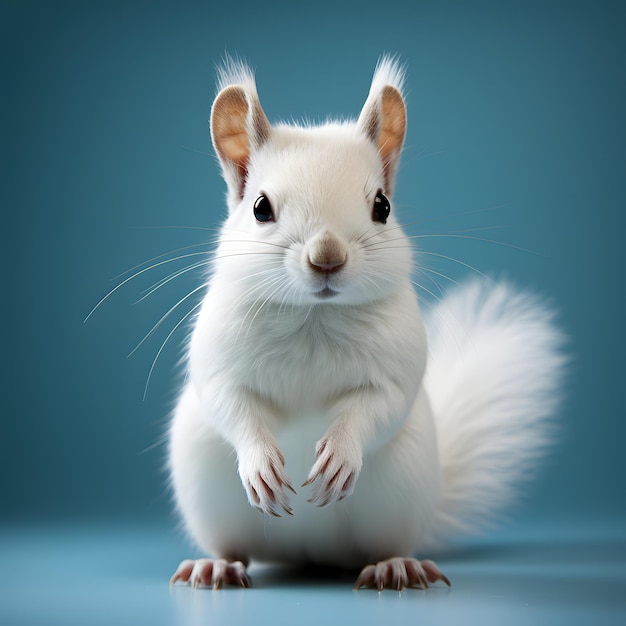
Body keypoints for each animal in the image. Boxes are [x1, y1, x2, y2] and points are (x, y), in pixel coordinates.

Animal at [166, 56, 560, 588]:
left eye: (382, 206)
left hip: (400, 499)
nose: (326, 258)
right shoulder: (218, 360)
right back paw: (217, 566)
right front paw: (261, 463)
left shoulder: (396, 367)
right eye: (260, 208)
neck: (314, 318)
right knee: (235, 546)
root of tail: (309, 554)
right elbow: (232, 404)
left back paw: (396, 567)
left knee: (383, 546)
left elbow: (378, 406)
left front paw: (339, 453)